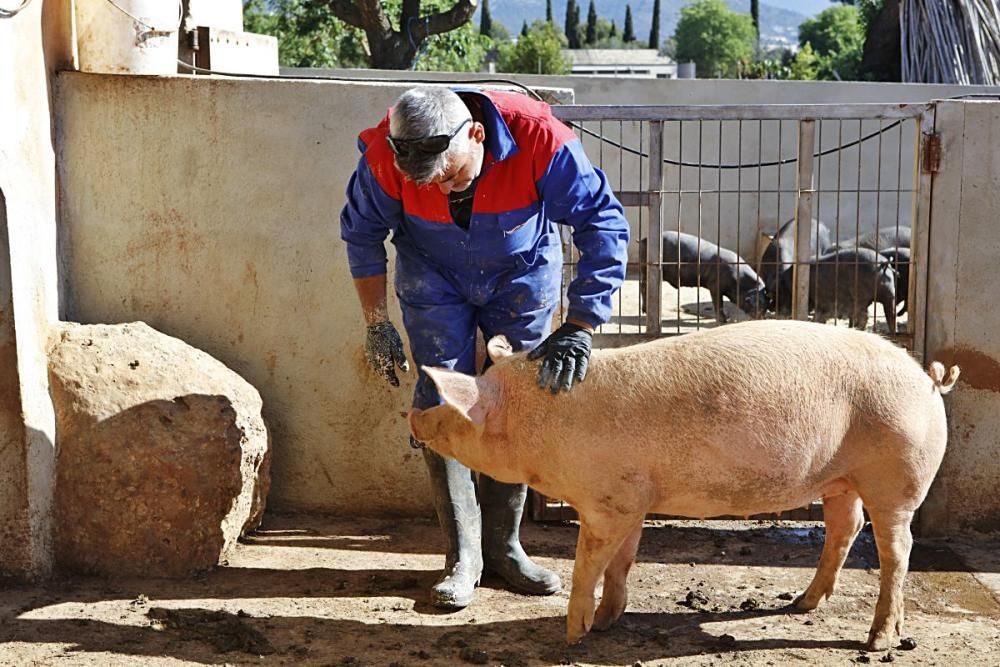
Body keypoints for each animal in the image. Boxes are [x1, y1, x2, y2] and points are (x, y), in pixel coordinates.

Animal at [408, 320, 960, 648]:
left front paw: (572, 634)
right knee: (845, 527)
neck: (541, 423)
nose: (415, 416)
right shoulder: (633, 498)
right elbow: (621, 562)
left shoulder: (606, 501)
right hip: (839, 478)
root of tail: (927, 377)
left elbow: (589, 564)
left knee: (896, 550)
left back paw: (878, 641)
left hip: (897, 472)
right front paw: (608, 621)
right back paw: (802, 603)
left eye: (455, 407)